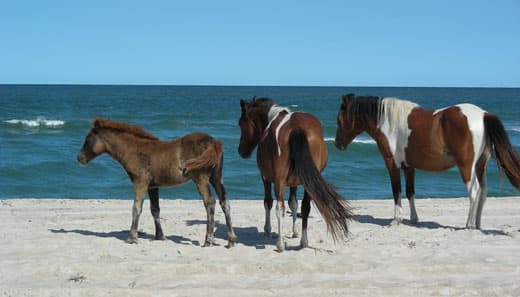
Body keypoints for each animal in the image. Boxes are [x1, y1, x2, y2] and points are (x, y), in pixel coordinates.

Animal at [76, 117, 236, 246]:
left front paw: (132, 238)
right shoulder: (152, 186)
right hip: (216, 177)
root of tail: (213, 141)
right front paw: (160, 236)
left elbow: (136, 208)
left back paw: (208, 240)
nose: (80, 158)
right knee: (224, 202)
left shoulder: (140, 182)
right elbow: (155, 209)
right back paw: (230, 241)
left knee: (210, 203)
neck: (133, 149)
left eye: (88, 138)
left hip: (200, 179)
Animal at [239, 97, 354, 250]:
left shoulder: (266, 178)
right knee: (305, 207)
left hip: (280, 181)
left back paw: (280, 243)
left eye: (241, 124)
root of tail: (297, 128)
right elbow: (294, 203)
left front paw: (267, 230)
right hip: (308, 182)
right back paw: (304, 241)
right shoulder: (294, 182)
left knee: (279, 208)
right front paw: (294, 232)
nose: (241, 151)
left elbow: (268, 202)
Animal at [336, 93, 516, 228]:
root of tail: (483, 114)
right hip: (480, 166)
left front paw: (396, 220)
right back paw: (477, 224)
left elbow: (396, 191)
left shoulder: (392, 164)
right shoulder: (408, 167)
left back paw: (469, 225)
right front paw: (414, 219)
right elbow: (410, 192)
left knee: (474, 192)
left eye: (339, 119)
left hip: (466, 167)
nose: (338, 144)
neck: (388, 123)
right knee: (483, 192)